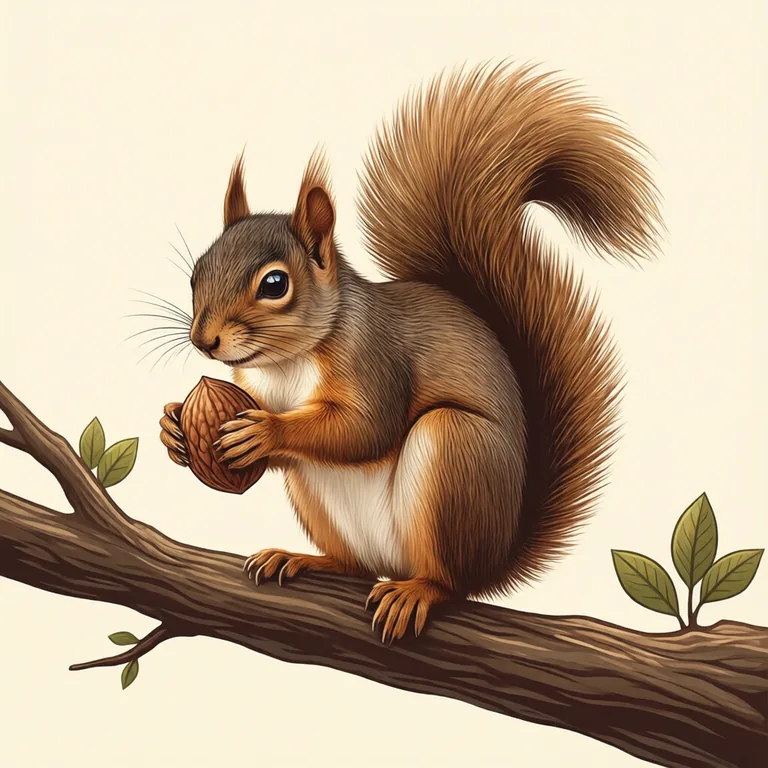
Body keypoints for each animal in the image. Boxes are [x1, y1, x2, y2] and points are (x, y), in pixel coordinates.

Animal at [159, 62, 662, 643]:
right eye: (197, 271)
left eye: (275, 284)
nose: (204, 340)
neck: (286, 363)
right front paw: (173, 426)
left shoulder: (376, 359)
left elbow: (365, 429)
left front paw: (265, 431)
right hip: (321, 503)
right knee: (355, 564)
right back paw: (305, 559)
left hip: (454, 454)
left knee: (450, 580)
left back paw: (418, 591)